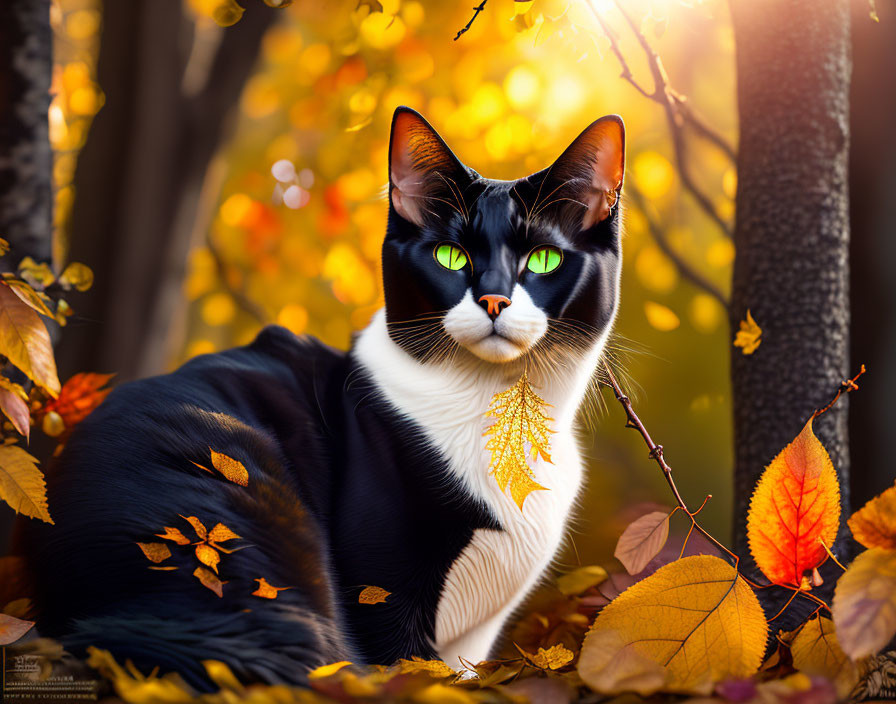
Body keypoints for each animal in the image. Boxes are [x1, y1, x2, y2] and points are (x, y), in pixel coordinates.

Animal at [17, 107, 628, 692]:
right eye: (450, 256)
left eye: (543, 260)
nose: (495, 299)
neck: (502, 412)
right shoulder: (383, 592)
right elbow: (408, 670)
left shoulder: (472, 641)